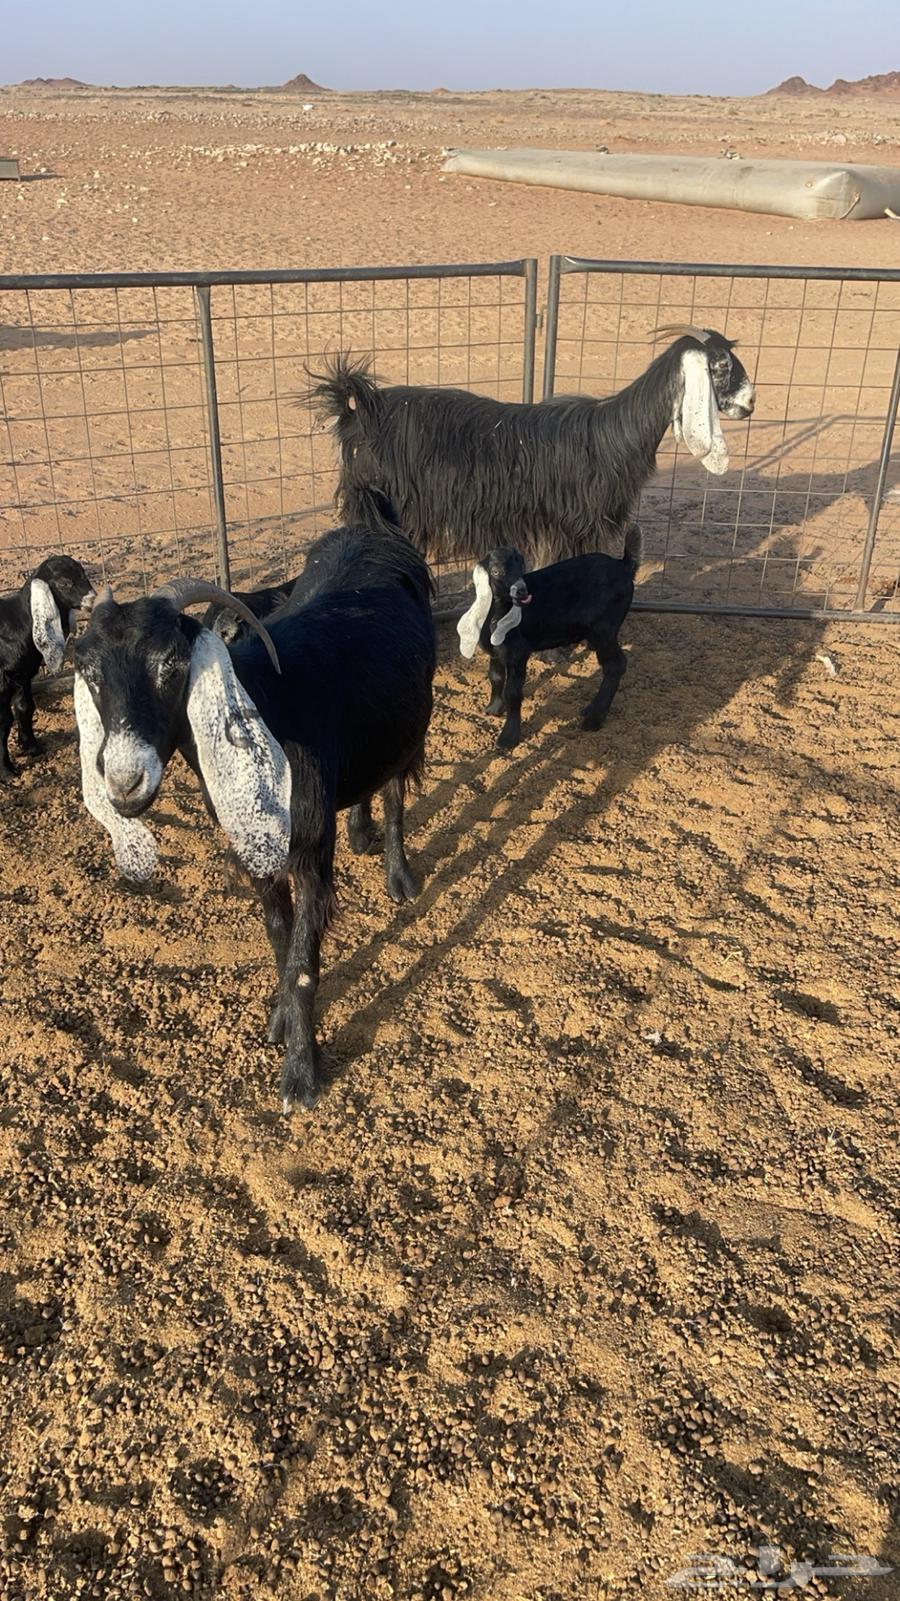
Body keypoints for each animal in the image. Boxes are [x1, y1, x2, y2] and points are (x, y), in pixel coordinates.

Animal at [0, 555, 95, 779]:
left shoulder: (23, 675)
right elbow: (4, 721)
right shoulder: (2, 680)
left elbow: (25, 707)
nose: (92, 599)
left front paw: (33, 748)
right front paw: (7, 772)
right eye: (64, 583)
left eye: (83, 574)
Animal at [72, 525, 436, 1113]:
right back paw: (361, 833)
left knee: (396, 792)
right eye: (88, 670)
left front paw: (301, 1077)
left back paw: (399, 876)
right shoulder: (254, 846)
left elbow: (305, 962)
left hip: (409, 726)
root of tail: (372, 531)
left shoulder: (310, 845)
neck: (269, 708)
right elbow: (279, 938)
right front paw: (282, 1020)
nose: (125, 783)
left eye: (172, 664)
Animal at [457, 527, 641, 750]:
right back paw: (590, 711)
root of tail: (624, 566)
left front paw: (508, 738)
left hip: (604, 629)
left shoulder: (517, 652)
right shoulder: (497, 652)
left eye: (521, 566)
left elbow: (513, 691)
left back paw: (593, 720)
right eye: (496, 571)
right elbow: (495, 677)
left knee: (615, 665)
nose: (523, 592)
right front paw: (493, 709)